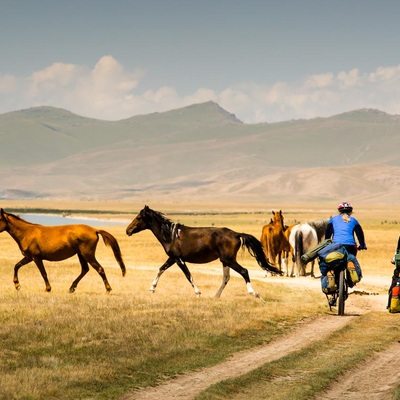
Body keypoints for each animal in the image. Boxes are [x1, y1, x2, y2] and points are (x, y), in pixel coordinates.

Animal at [125, 206, 282, 296]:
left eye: (138, 217)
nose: (128, 230)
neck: (171, 235)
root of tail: (237, 234)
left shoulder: (179, 260)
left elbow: (188, 276)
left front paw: (198, 293)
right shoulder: (173, 258)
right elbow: (160, 269)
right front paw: (152, 288)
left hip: (228, 259)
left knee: (244, 271)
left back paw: (254, 293)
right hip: (225, 260)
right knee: (226, 278)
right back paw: (216, 296)